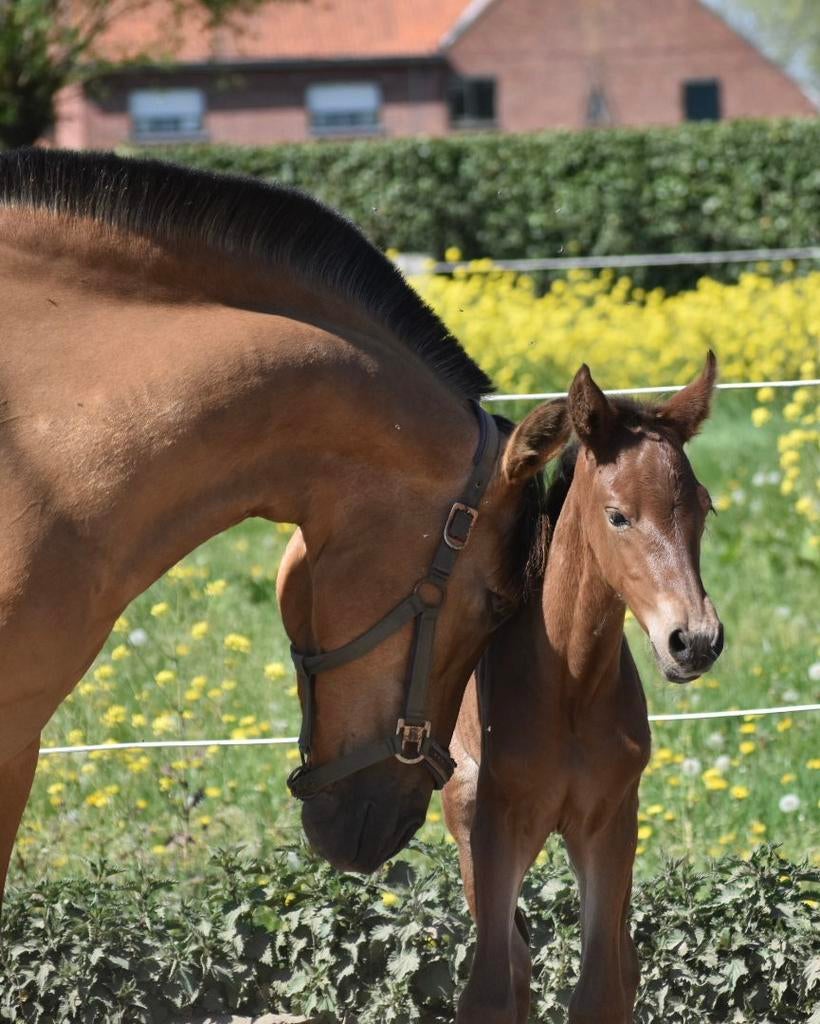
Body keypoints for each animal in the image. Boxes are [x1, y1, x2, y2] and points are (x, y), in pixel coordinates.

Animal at [443, 355, 724, 1024]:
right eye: (618, 515)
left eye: (704, 508)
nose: (695, 640)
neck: (568, 684)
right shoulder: (496, 824)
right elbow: (492, 987)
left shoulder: (610, 822)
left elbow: (603, 987)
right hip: (463, 811)